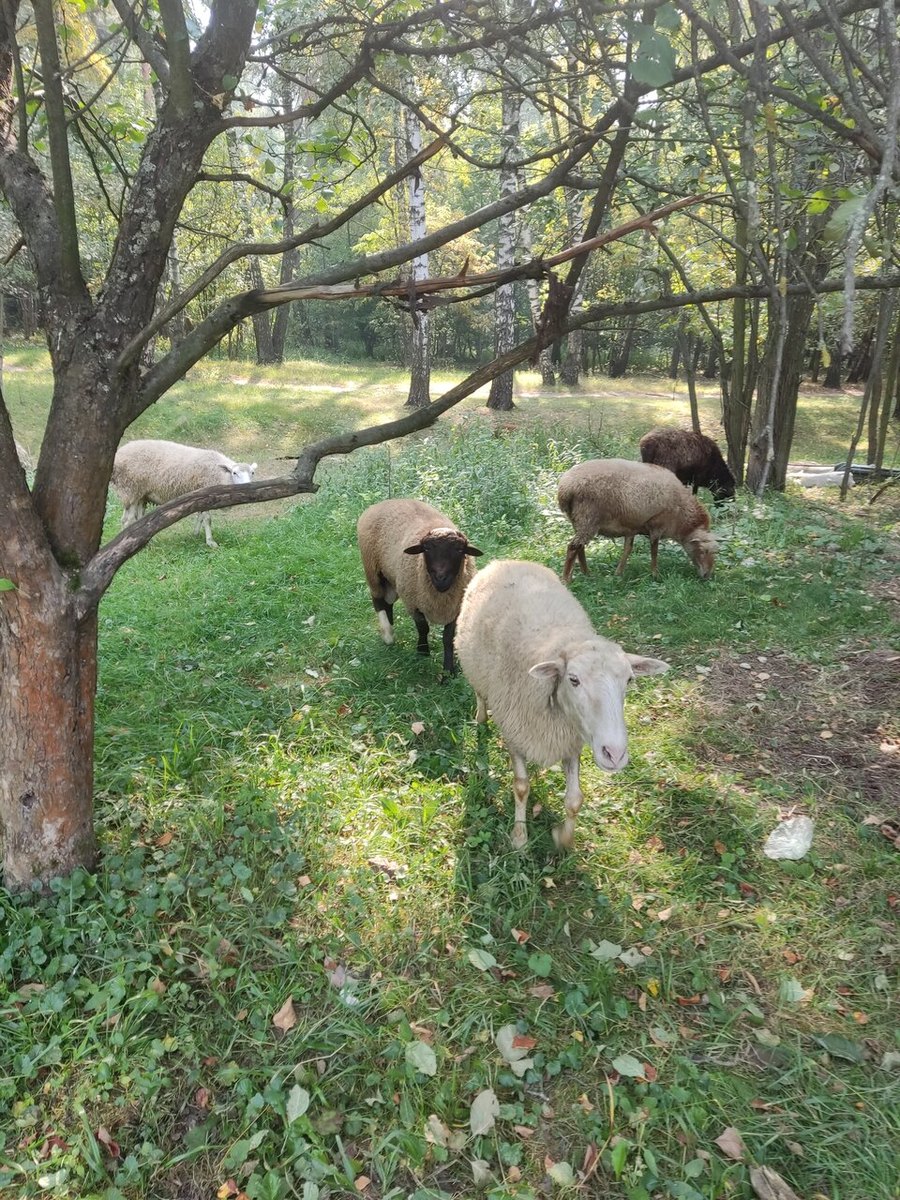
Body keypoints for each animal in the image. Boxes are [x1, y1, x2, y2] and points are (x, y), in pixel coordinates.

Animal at [111, 438, 257, 548]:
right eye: (234, 473)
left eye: (252, 473)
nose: (247, 487)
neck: (220, 474)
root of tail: (118, 456)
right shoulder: (206, 494)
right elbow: (207, 519)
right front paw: (211, 542)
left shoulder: (200, 496)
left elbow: (200, 517)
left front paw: (196, 533)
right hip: (130, 488)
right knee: (128, 520)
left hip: (141, 494)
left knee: (137, 520)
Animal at [357, 498, 482, 675]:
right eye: (426, 549)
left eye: (459, 550)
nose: (441, 578)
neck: (440, 595)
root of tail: (385, 502)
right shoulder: (413, 603)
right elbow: (423, 628)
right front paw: (422, 651)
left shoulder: (456, 608)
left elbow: (448, 638)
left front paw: (448, 672)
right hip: (373, 570)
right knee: (378, 600)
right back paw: (388, 635)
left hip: (393, 579)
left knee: (388, 602)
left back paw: (391, 627)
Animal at [455, 559, 669, 849]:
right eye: (573, 679)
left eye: (629, 679)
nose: (614, 754)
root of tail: (507, 561)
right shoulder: (514, 733)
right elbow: (521, 787)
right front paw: (519, 838)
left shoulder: (571, 741)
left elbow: (575, 800)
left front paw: (563, 839)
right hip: (474, 669)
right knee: (479, 694)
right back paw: (480, 718)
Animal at [557, 458, 718, 583]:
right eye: (703, 551)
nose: (707, 575)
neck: (681, 516)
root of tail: (565, 488)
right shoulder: (657, 525)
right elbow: (654, 550)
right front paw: (655, 574)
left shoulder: (632, 527)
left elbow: (628, 549)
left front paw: (618, 573)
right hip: (588, 518)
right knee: (573, 547)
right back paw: (566, 579)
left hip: (580, 521)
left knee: (580, 547)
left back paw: (586, 574)